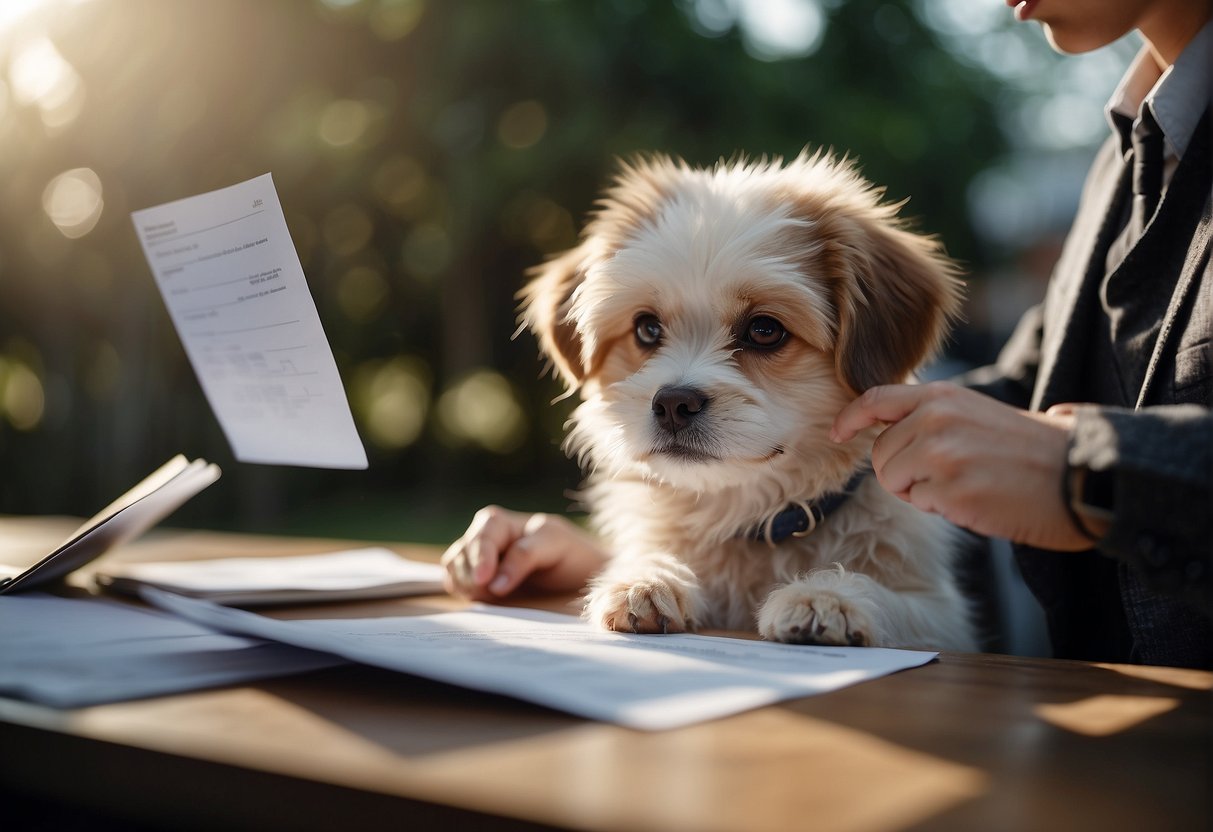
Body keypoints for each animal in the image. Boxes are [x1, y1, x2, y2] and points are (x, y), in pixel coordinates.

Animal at [521, 153, 975, 654]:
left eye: (764, 329)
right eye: (647, 328)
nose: (673, 403)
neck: (749, 517)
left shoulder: (943, 615)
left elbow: (887, 596)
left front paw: (826, 596)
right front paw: (647, 579)